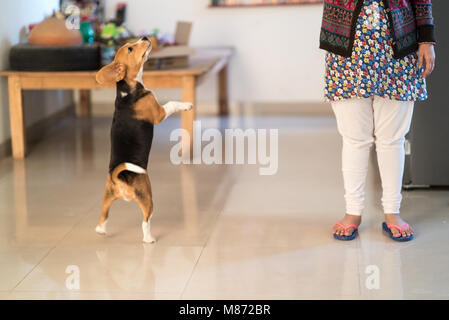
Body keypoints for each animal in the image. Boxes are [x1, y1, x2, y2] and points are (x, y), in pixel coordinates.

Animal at [93, 37, 192, 242]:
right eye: (131, 48)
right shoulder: (159, 113)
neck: (126, 90)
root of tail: (120, 179)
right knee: (145, 222)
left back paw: (101, 230)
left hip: (106, 197)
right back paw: (149, 239)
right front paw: (186, 105)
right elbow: (172, 103)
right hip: (148, 199)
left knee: (103, 215)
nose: (145, 37)